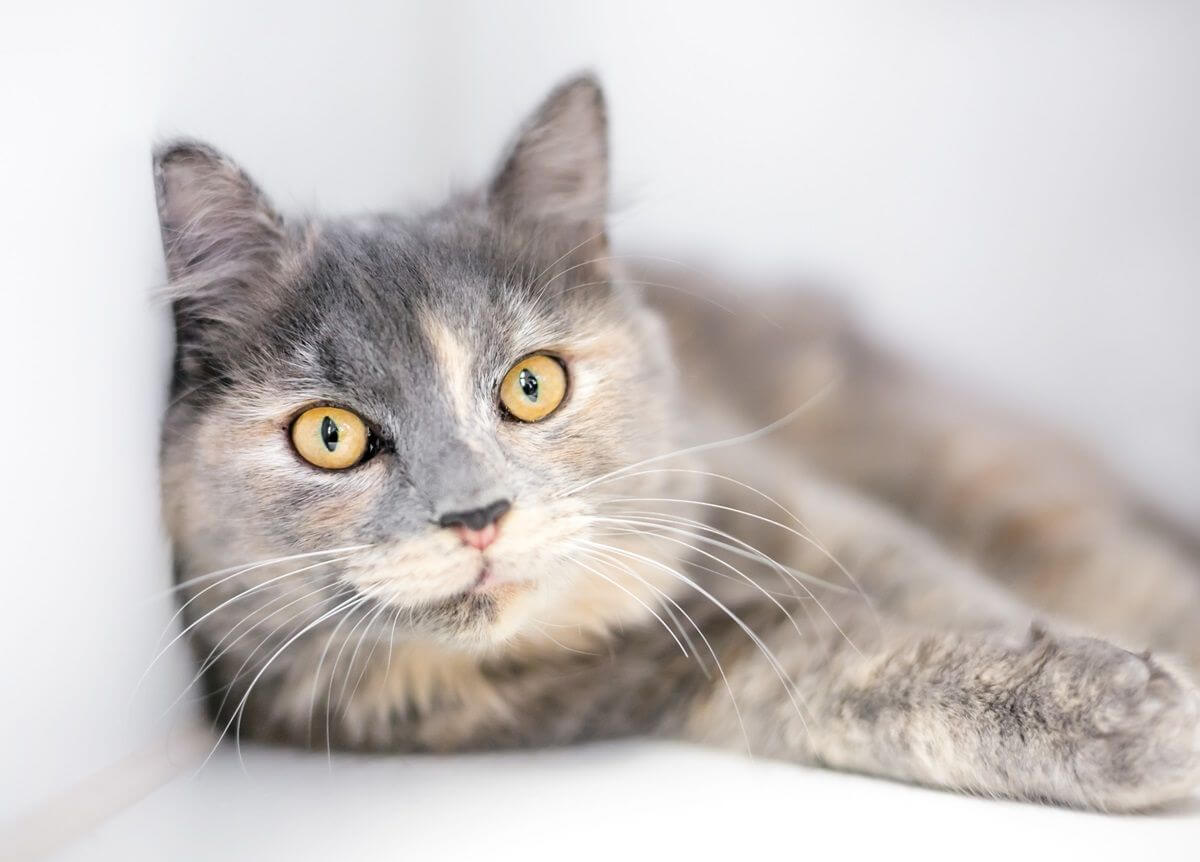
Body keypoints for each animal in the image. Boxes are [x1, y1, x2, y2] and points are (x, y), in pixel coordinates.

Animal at [154, 72, 1195, 811]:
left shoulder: (811, 513)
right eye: (330, 434)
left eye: (532, 385)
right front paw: (1134, 717)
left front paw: (1125, 691)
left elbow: (956, 595)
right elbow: (882, 686)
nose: (476, 515)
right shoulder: (719, 671)